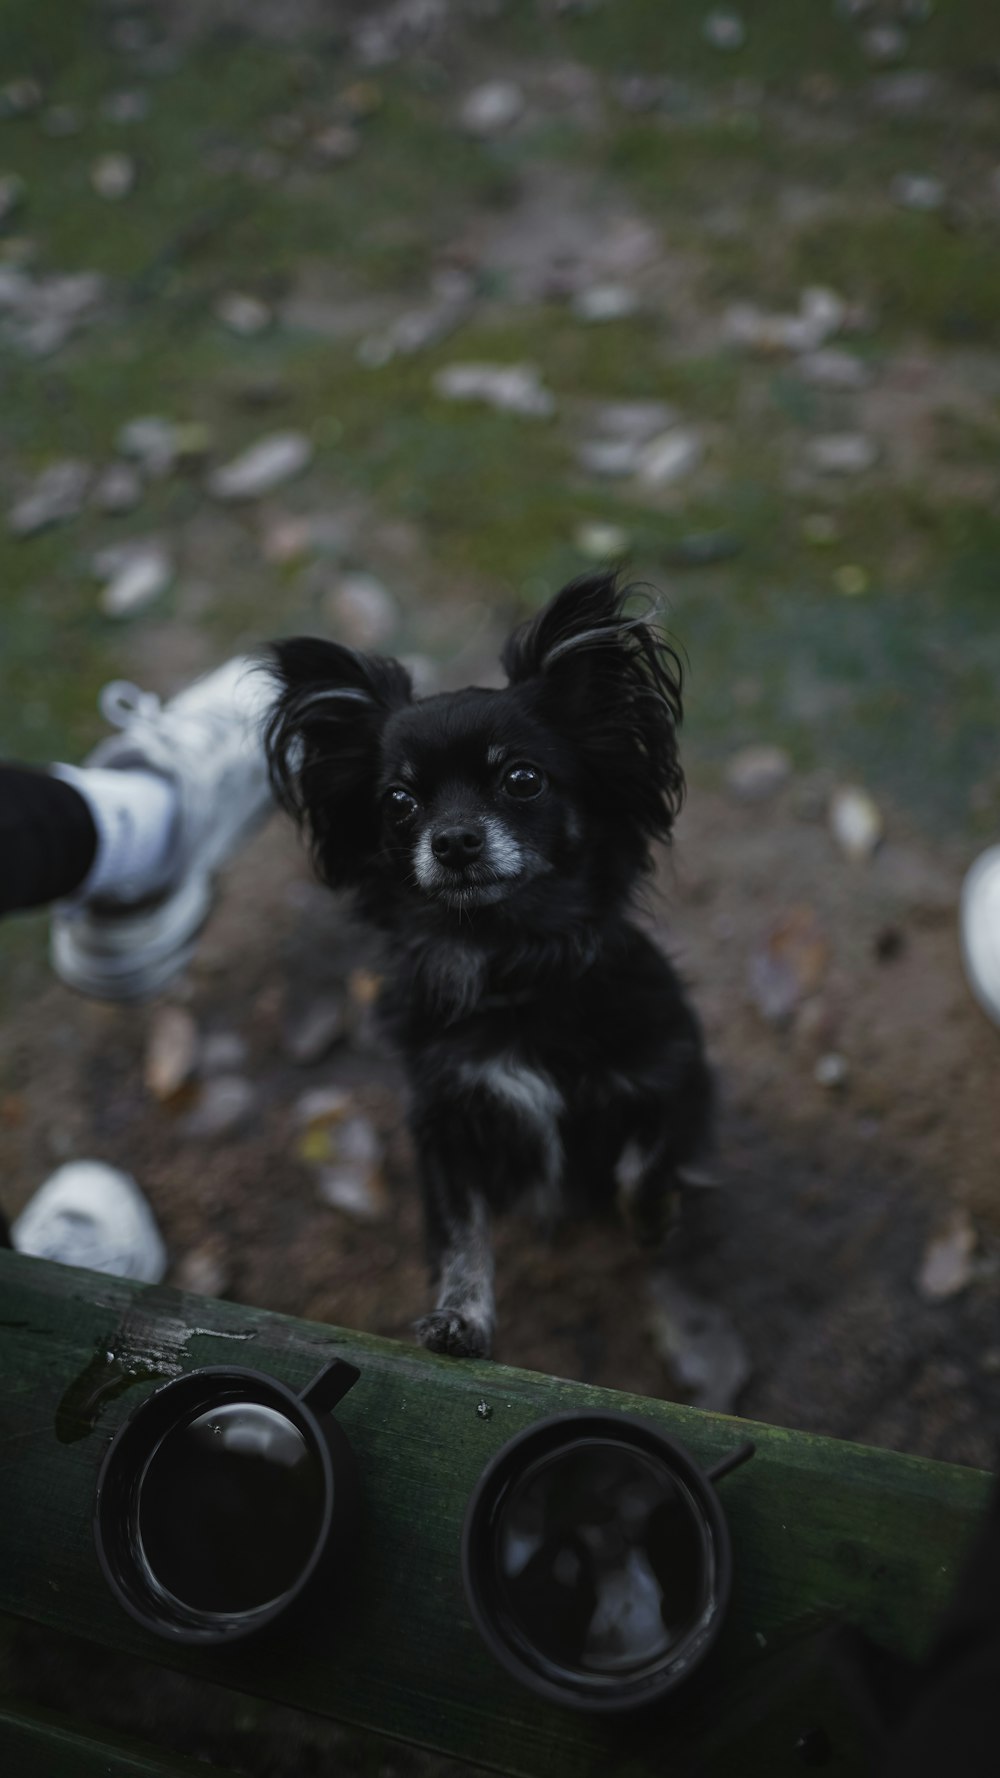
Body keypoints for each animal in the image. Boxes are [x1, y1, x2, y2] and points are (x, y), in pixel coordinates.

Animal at [265, 576, 708, 1351]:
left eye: (522, 780)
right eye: (399, 801)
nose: (453, 841)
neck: (510, 964)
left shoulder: (670, 1065)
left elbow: (647, 1153)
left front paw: (653, 1213)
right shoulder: (448, 1126)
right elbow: (460, 1236)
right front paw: (461, 1317)